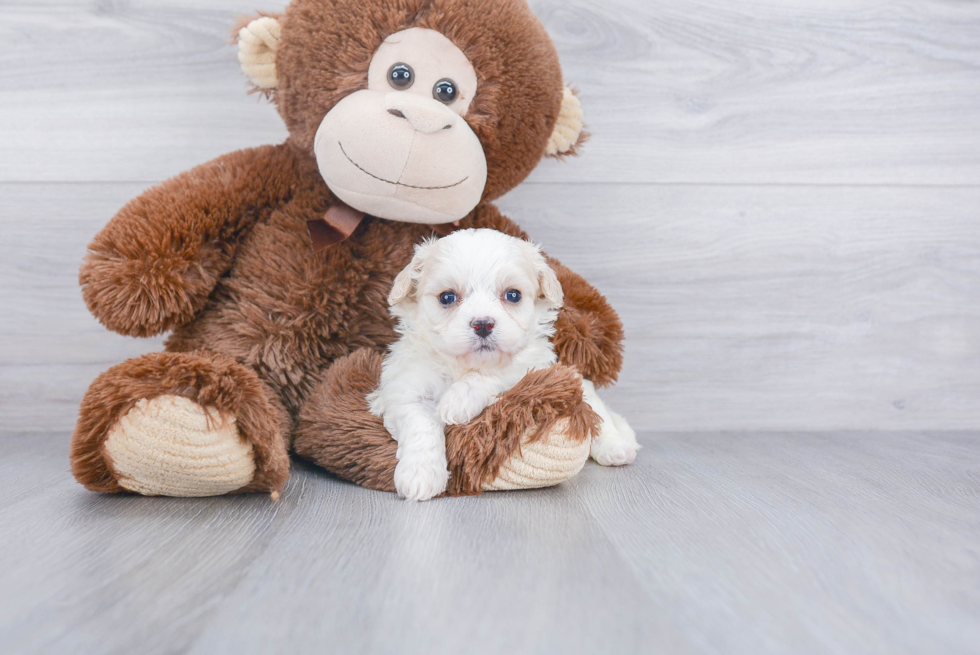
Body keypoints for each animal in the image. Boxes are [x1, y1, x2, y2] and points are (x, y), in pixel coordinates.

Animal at [372, 228, 640, 500]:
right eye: (447, 297)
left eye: (513, 295)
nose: (483, 323)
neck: (462, 366)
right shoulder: (405, 388)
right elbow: (420, 423)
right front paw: (421, 474)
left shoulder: (533, 366)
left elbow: (493, 374)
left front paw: (458, 400)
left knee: (599, 415)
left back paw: (616, 447)